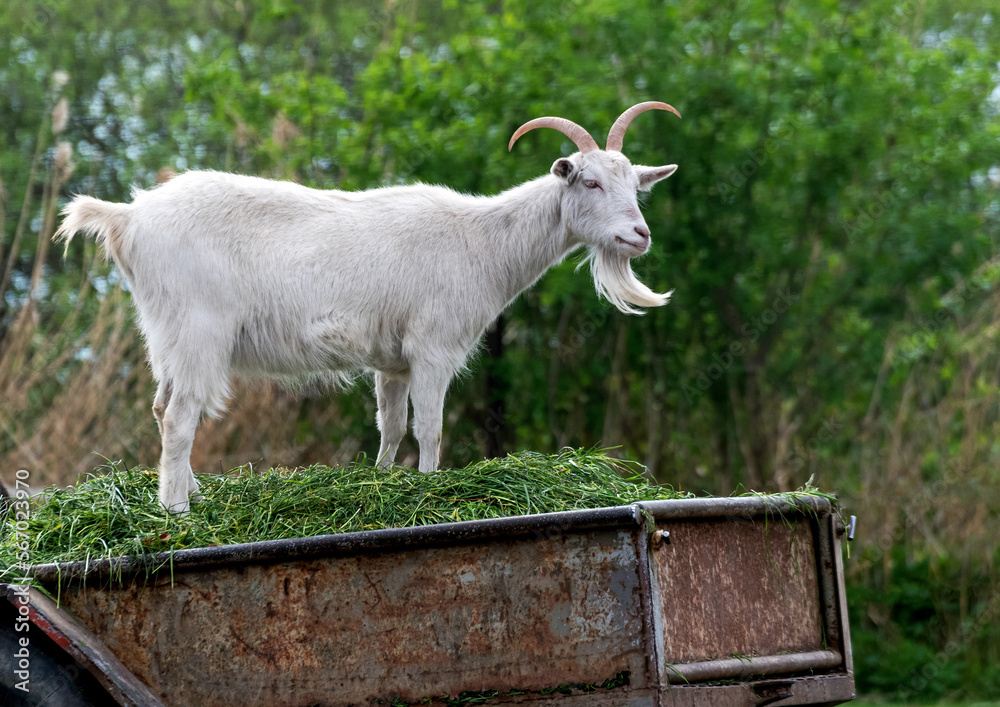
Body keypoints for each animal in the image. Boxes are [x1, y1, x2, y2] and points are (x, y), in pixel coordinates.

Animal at [55, 101, 681, 513]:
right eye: (590, 182)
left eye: (636, 186)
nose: (639, 236)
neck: (482, 241)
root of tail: (127, 217)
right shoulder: (433, 347)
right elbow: (430, 428)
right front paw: (430, 491)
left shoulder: (393, 360)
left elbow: (391, 425)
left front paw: (383, 484)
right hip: (198, 330)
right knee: (182, 416)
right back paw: (177, 511)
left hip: (164, 333)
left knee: (162, 407)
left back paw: (193, 493)